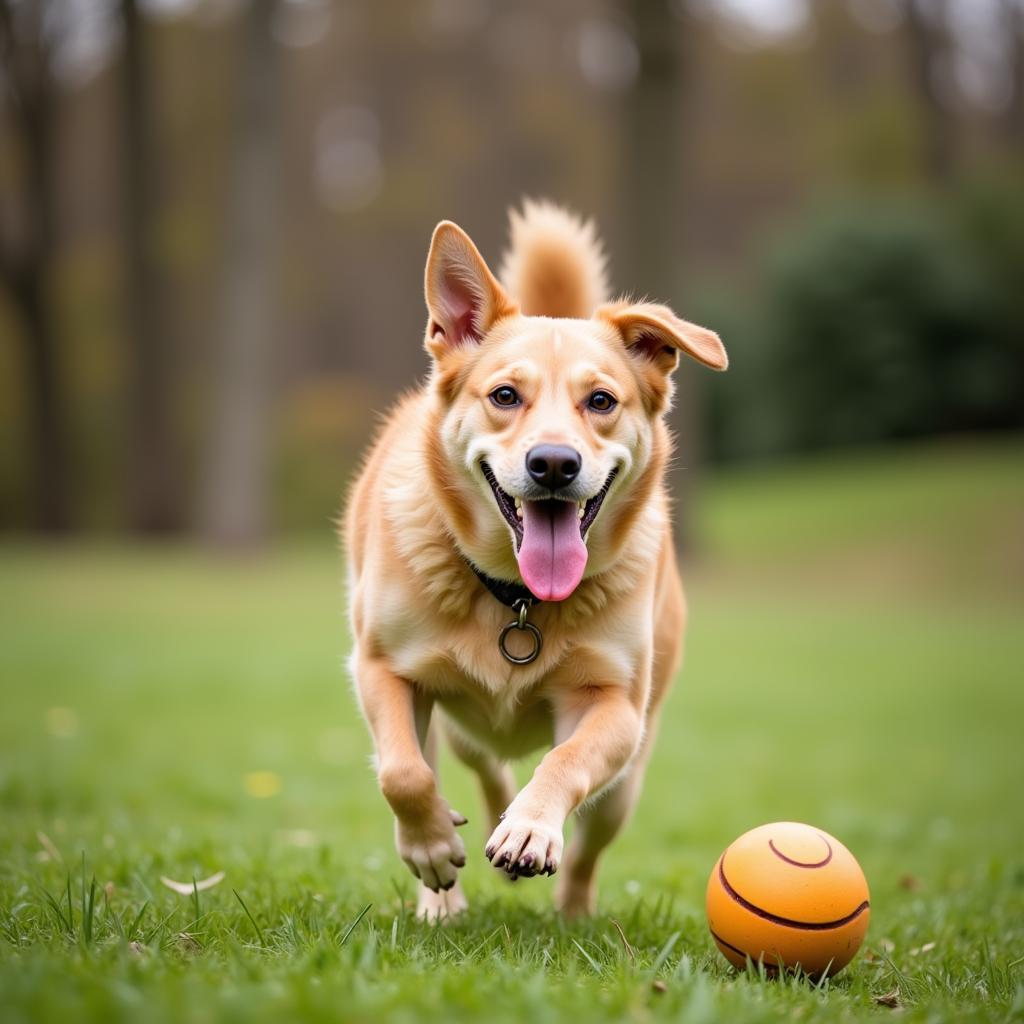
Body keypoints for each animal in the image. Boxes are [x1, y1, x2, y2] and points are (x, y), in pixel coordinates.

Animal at [346, 199, 729, 921]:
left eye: (601, 401)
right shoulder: (381, 668)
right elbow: (402, 773)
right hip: (456, 727)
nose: (554, 463)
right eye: (504, 396)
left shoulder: (614, 703)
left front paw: (528, 829)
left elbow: (566, 762)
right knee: (472, 766)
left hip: (628, 777)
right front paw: (432, 850)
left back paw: (570, 908)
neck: (516, 595)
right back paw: (444, 894)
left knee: (587, 843)